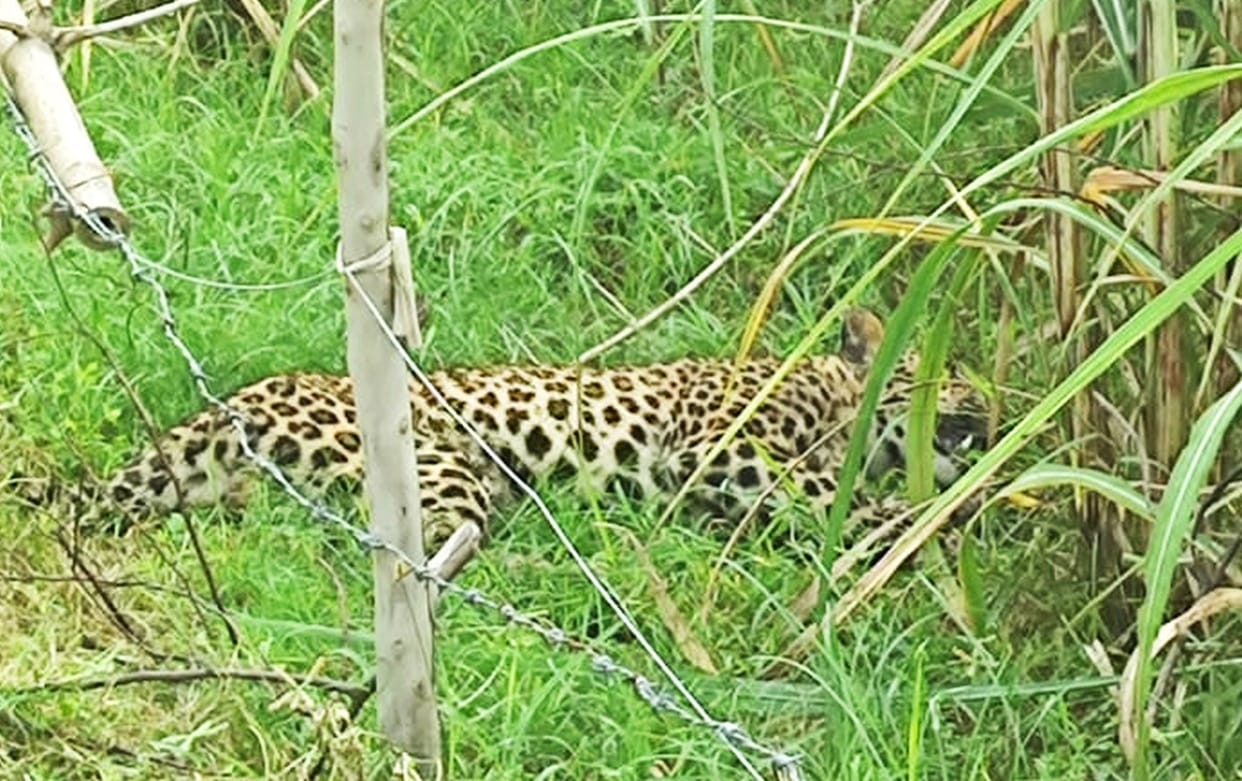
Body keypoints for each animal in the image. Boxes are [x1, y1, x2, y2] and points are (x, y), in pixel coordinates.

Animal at [35, 307, 988, 547]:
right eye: (957, 376)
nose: (998, 415)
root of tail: (242, 397)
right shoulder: (725, 445)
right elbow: (828, 493)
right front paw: (921, 522)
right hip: (440, 468)